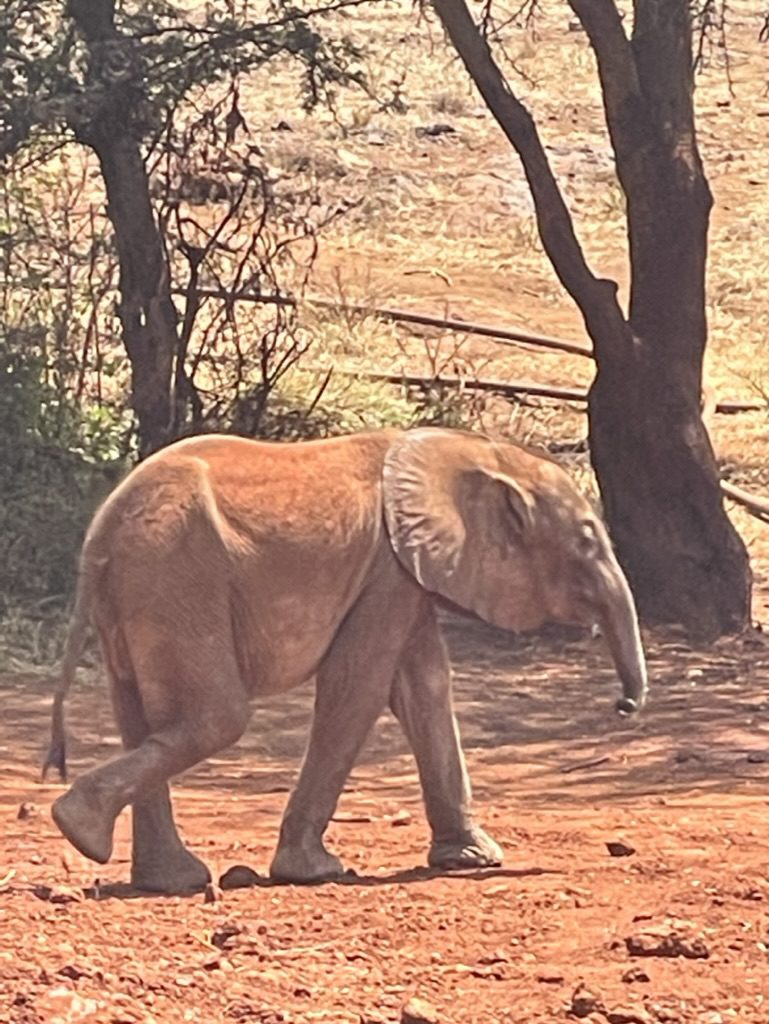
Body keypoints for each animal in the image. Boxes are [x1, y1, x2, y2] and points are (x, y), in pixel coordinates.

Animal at [43, 423, 651, 888]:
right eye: (587, 541)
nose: (623, 706)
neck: (478, 453)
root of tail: (97, 540)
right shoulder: (387, 569)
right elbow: (358, 685)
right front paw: (313, 872)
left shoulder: (406, 575)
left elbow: (424, 689)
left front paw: (473, 859)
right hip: (176, 580)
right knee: (218, 718)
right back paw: (82, 828)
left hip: (143, 592)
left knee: (143, 717)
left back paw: (158, 874)